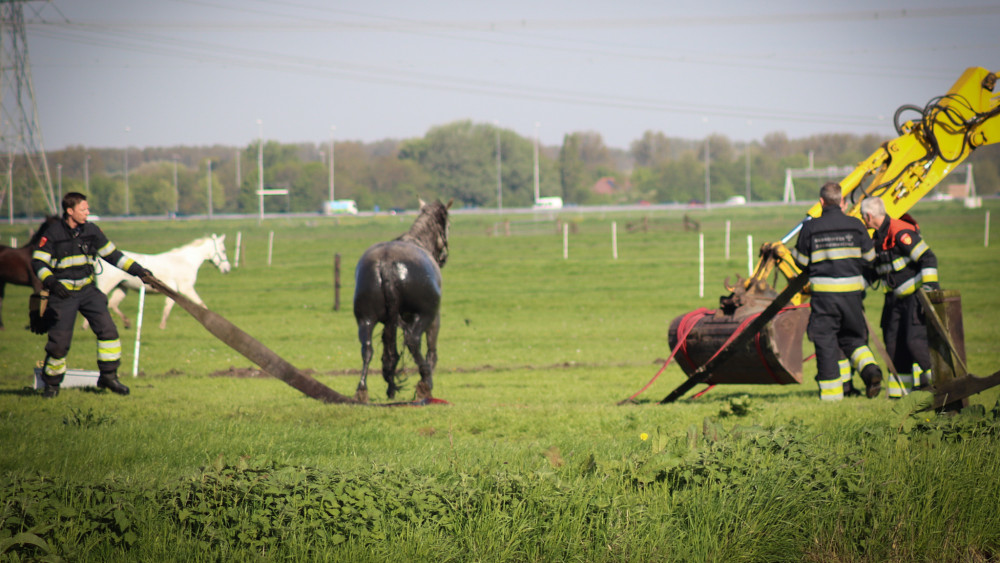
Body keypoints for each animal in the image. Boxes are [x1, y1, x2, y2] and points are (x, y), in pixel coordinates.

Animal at [84, 234, 232, 330]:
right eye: (223, 250)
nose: (227, 269)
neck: (186, 261)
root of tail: (99, 259)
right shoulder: (186, 288)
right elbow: (201, 304)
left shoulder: (175, 291)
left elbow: (167, 308)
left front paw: (162, 326)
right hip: (106, 286)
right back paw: (85, 326)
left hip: (122, 287)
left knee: (113, 304)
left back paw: (127, 323)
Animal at [354, 198, 452, 400]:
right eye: (448, 225)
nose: (444, 257)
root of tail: (386, 263)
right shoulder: (434, 318)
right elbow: (431, 351)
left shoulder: (388, 321)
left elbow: (389, 351)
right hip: (424, 316)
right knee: (413, 341)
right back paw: (424, 382)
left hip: (365, 319)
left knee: (368, 349)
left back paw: (364, 389)